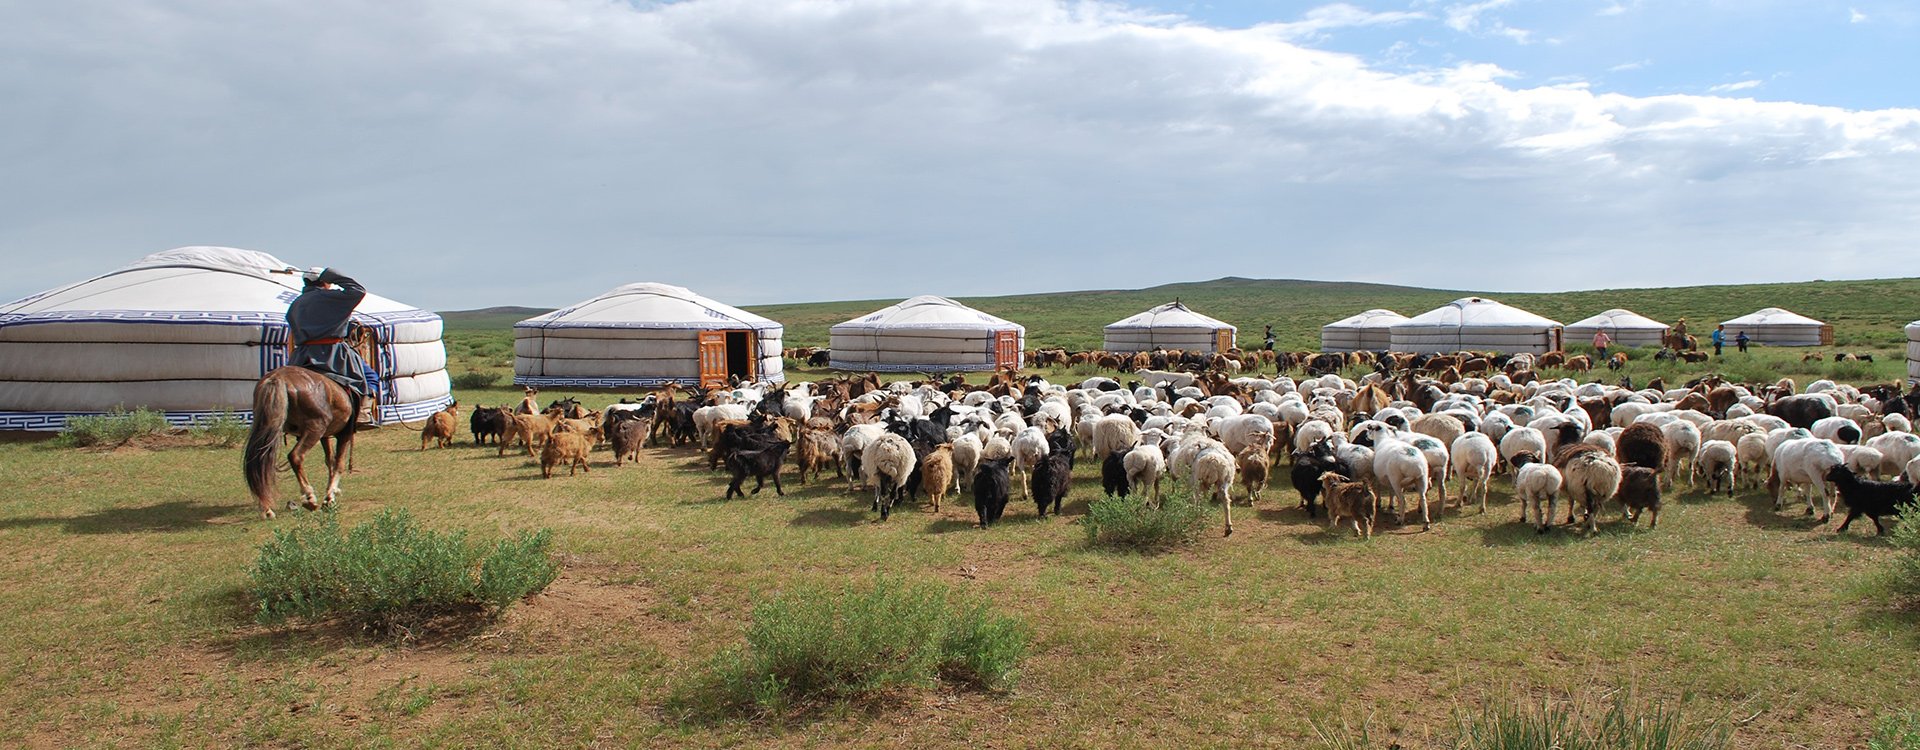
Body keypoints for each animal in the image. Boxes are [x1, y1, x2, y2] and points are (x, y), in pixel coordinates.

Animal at [243, 366, 360, 521]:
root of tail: (277, 378)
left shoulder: (325, 435)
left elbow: (330, 461)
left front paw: (331, 494)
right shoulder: (344, 434)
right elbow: (339, 464)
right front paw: (330, 498)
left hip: (268, 426)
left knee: (260, 462)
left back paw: (267, 509)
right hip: (315, 427)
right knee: (295, 456)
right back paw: (309, 497)